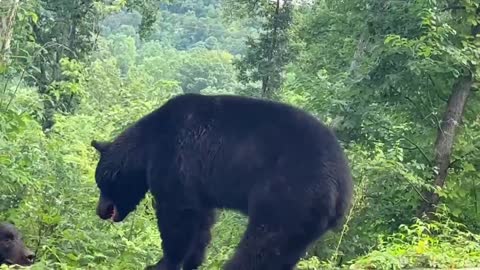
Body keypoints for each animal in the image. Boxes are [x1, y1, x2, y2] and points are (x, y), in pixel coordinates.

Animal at [91, 93, 352, 270]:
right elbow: (202, 223)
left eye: (102, 183)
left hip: (288, 196)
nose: (100, 211)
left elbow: (177, 216)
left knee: (262, 245)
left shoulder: (175, 160)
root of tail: (342, 186)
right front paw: (192, 260)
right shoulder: (200, 188)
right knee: (282, 252)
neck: (146, 148)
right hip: (305, 222)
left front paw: (163, 262)